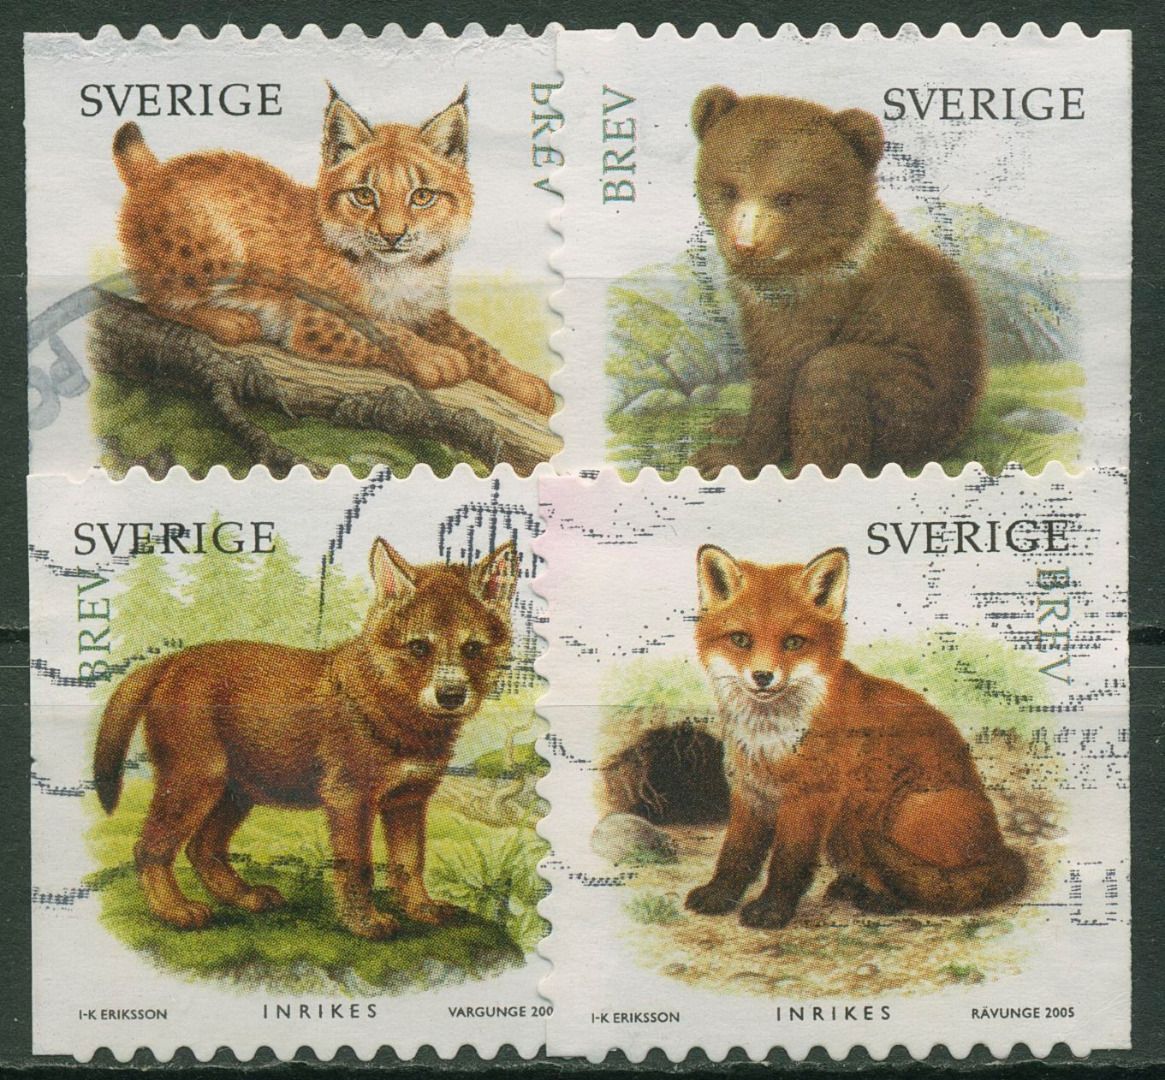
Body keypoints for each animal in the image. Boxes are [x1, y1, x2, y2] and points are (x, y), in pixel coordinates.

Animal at [93, 537, 518, 939]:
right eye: (418, 647)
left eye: (472, 648)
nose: (451, 695)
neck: (398, 714)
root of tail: (170, 662)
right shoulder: (350, 799)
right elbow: (358, 868)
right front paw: (364, 923)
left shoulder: (408, 799)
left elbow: (409, 863)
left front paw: (421, 910)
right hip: (194, 782)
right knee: (150, 848)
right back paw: (175, 911)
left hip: (236, 791)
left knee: (203, 848)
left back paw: (246, 897)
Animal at [687, 544, 1026, 929]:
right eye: (741, 639)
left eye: (794, 642)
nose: (762, 676)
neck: (770, 740)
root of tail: (1001, 851)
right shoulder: (750, 791)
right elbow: (736, 854)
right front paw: (719, 895)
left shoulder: (811, 796)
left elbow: (788, 860)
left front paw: (772, 909)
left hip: (902, 812)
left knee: (913, 892)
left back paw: (874, 897)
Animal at [689, 87, 986, 478]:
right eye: (728, 189)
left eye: (787, 197)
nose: (746, 245)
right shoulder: (759, 307)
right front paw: (731, 423)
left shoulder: (815, 306)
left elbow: (784, 375)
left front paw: (729, 457)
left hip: (914, 405)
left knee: (831, 373)